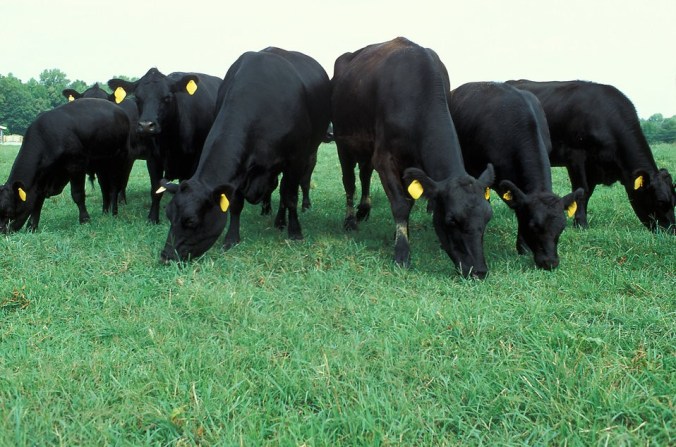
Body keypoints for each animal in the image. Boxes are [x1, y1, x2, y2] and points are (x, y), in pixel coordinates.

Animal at [0, 98, 129, 232]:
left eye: (9, 212)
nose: (2, 231)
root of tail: (119, 110)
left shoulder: (76, 165)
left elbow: (77, 194)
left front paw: (85, 220)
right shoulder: (43, 176)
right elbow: (38, 200)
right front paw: (32, 226)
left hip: (118, 159)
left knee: (114, 187)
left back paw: (114, 212)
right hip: (101, 164)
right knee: (104, 187)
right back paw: (105, 212)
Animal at [107, 68, 222, 223]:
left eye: (167, 97)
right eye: (137, 98)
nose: (146, 125)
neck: (170, 143)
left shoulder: (194, 161)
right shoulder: (152, 159)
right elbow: (155, 190)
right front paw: (152, 218)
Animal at [158, 47, 331, 262]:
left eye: (191, 221)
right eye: (168, 214)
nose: (166, 255)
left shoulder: (296, 159)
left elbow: (290, 196)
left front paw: (295, 232)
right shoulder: (240, 170)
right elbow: (236, 204)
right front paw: (232, 238)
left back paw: (281, 221)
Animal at [331, 37, 494, 279]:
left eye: (487, 217)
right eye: (451, 220)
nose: (479, 271)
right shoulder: (385, 159)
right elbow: (401, 204)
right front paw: (402, 253)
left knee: (365, 174)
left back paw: (364, 209)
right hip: (344, 142)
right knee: (349, 181)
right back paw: (351, 220)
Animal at [506, 79, 676, 234]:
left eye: (674, 201)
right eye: (660, 201)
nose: (671, 231)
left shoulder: (594, 167)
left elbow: (588, 194)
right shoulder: (576, 156)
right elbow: (582, 191)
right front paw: (581, 224)